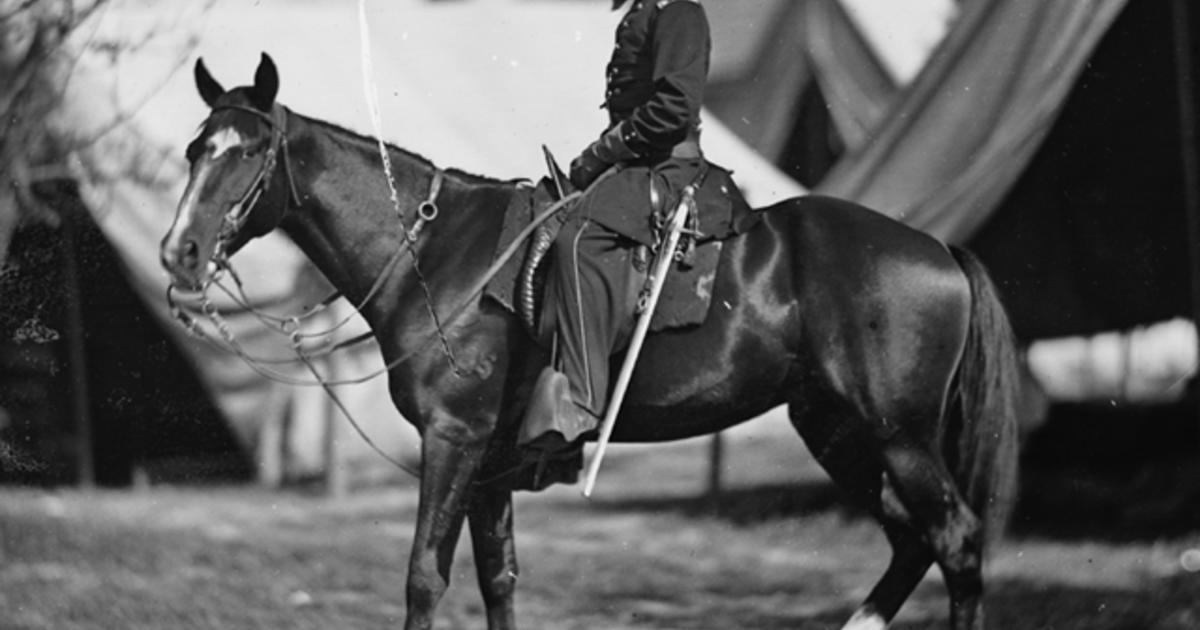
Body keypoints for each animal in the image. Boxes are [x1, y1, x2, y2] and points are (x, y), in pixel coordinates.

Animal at [159, 54, 1022, 628]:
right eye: (196, 148)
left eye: (250, 152)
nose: (179, 254)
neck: (435, 255)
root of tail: (939, 249)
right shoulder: (490, 464)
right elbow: (498, 577)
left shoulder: (452, 439)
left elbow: (423, 577)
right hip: (838, 430)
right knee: (913, 543)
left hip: (899, 435)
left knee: (956, 543)